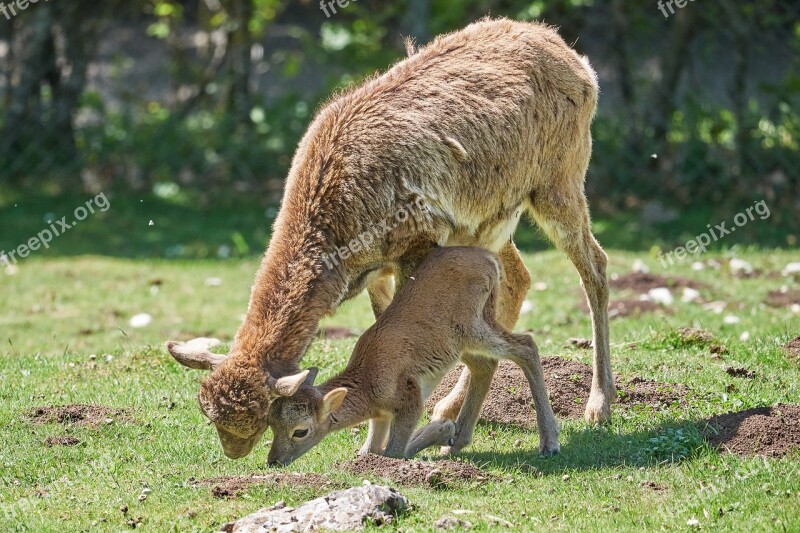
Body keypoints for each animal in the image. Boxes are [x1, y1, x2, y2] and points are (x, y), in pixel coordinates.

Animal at [167, 16, 612, 458]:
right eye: (210, 415)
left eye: (257, 415)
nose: (234, 452)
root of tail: (578, 61)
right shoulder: (376, 267)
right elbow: (382, 325)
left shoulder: (418, 239)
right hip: (489, 220)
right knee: (518, 277)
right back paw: (455, 408)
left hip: (560, 178)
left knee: (595, 263)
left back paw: (598, 405)